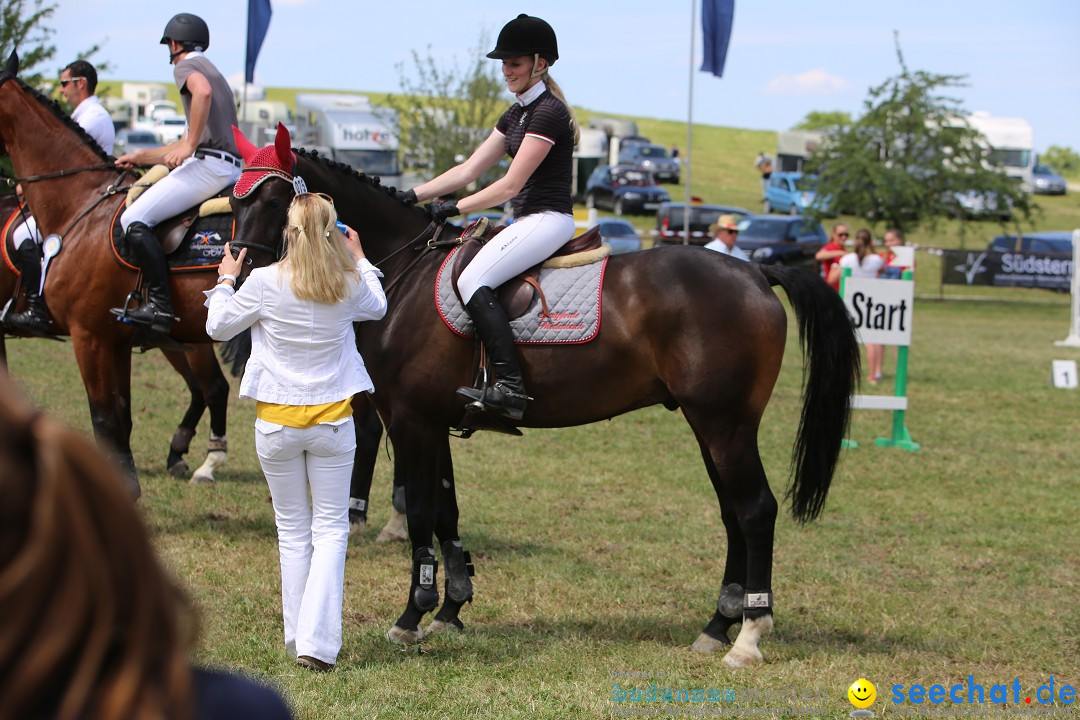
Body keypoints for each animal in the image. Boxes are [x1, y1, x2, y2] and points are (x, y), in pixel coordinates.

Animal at [0, 52, 232, 496]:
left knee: (213, 387)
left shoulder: (89, 337)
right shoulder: (115, 340)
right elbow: (121, 417)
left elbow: (105, 418)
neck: (78, 204)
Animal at [230, 131, 859, 669]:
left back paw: (749, 636)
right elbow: (448, 510)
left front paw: (412, 616)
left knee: (755, 511)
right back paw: (716, 627)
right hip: (710, 426)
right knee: (733, 513)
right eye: (234, 198)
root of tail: (756, 273)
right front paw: (452, 609)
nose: (236, 273)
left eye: (272, 198)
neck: (401, 273)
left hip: (725, 424)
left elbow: (423, 517)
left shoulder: (411, 420)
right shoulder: (436, 420)